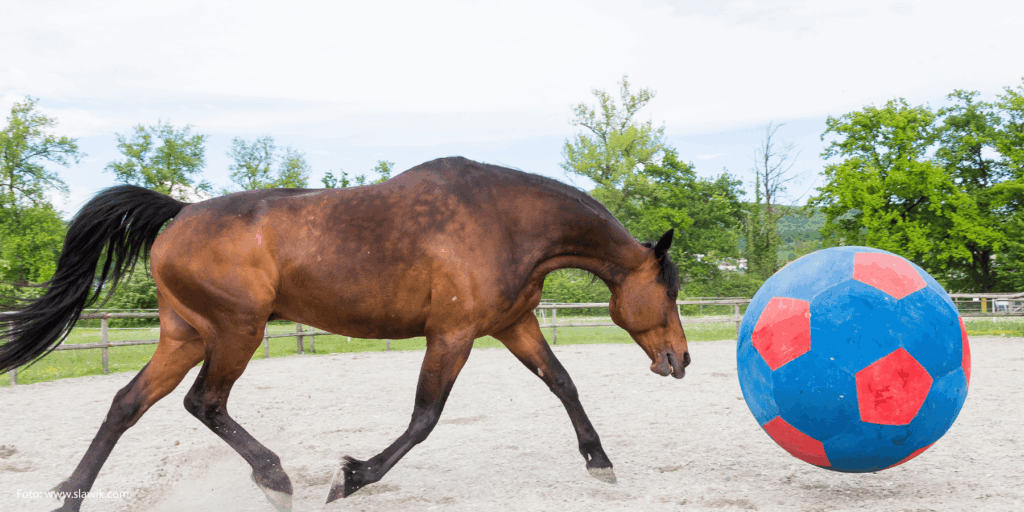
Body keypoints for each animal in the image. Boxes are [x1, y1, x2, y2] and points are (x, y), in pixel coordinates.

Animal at [0, 156, 690, 511]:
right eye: (670, 291)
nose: (680, 360)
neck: (506, 221)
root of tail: (181, 211)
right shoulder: (453, 334)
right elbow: (424, 419)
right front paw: (351, 477)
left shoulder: (512, 325)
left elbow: (564, 384)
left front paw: (600, 464)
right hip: (236, 331)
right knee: (204, 402)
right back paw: (276, 480)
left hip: (186, 336)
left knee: (127, 404)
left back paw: (69, 497)